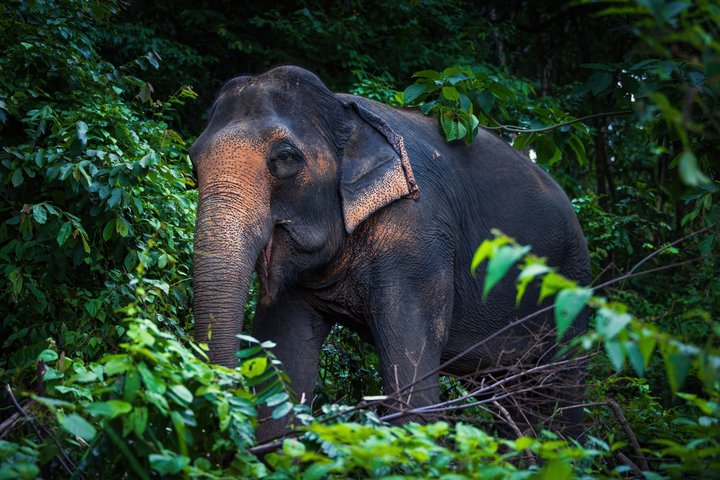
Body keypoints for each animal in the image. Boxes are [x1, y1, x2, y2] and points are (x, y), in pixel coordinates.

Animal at [190, 65, 591, 441]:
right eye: (194, 160)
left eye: (286, 158)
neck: (344, 113)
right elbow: (282, 362)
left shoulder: (418, 236)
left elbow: (411, 378)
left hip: (571, 286)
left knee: (563, 389)